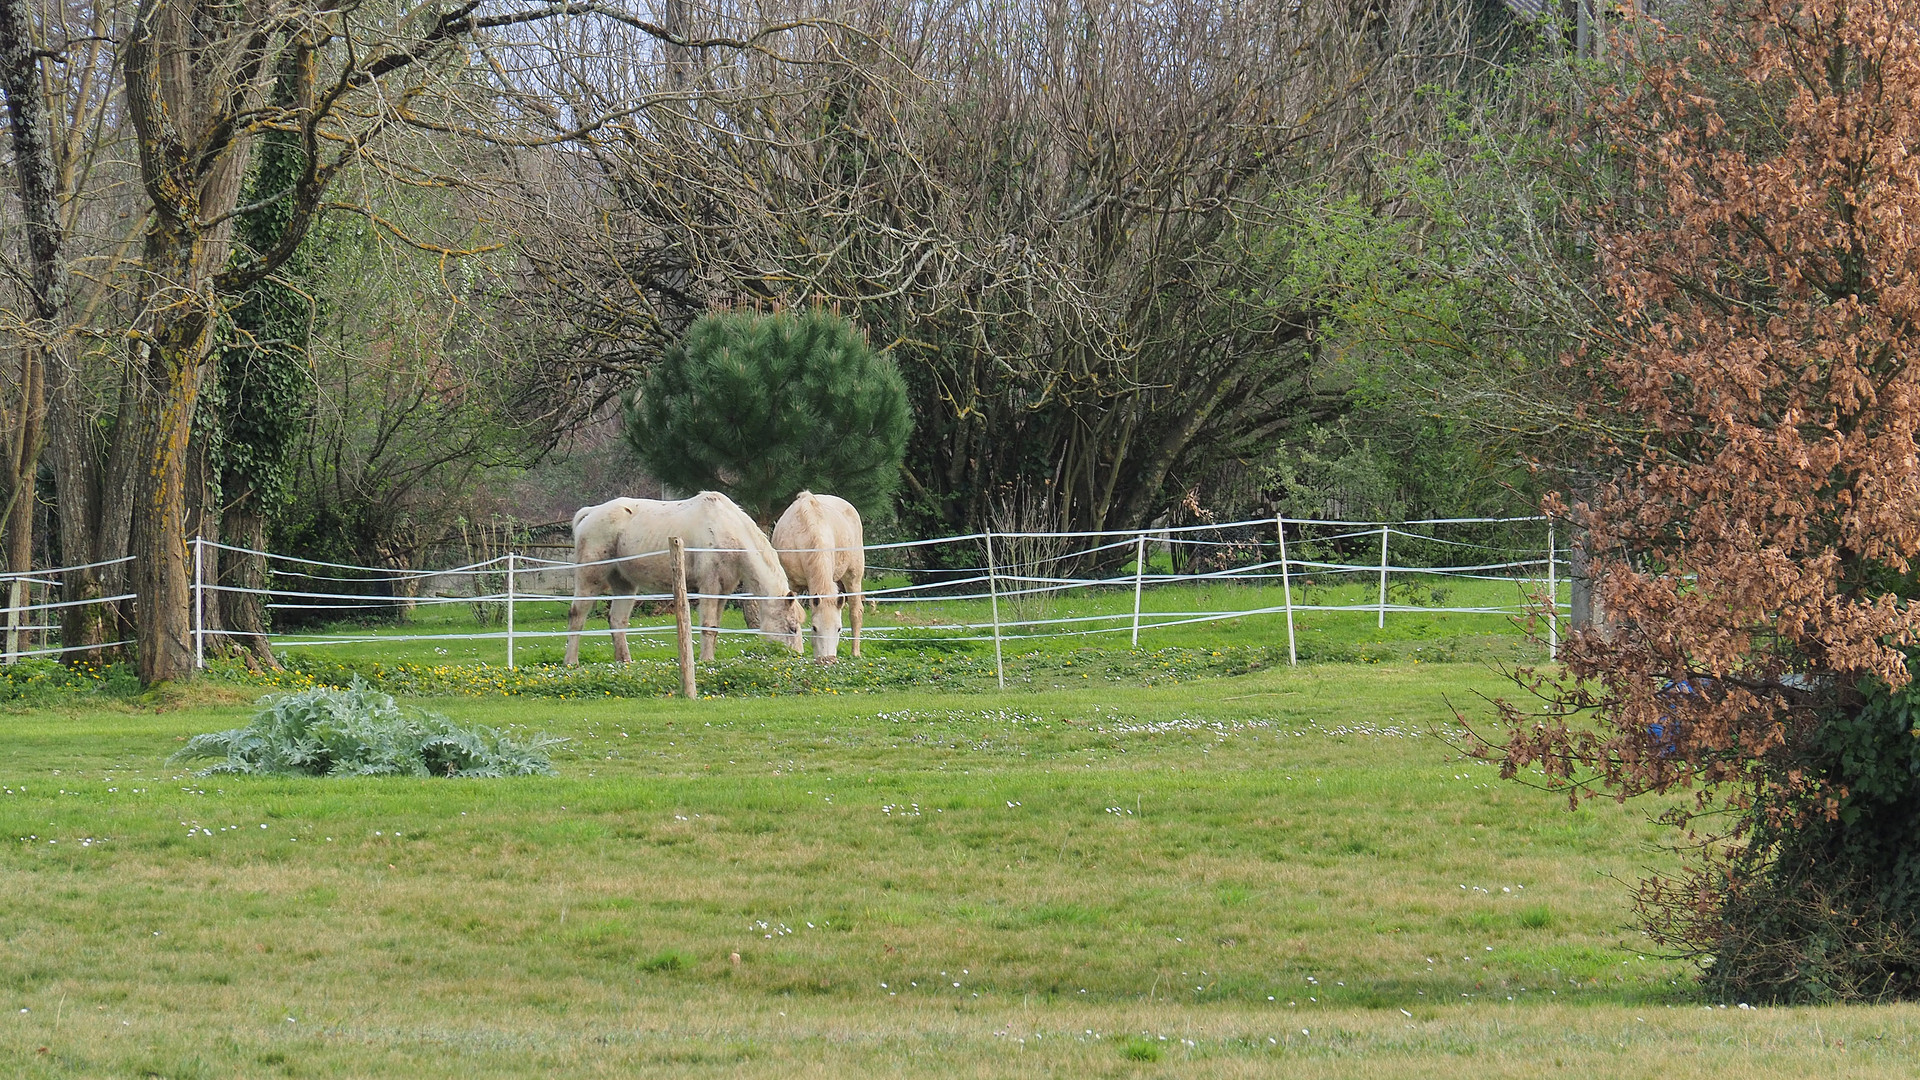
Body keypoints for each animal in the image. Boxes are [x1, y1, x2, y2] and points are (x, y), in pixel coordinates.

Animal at [568, 490, 810, 664]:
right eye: (792, 628)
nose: (796, 658)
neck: (726, 530)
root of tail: (590, 513)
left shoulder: (724, 590)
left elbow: (715, 626)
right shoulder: (709, 586)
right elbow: (709, 625)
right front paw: (706, 660)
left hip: (624, 584)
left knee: (617, 620)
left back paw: (624, 661)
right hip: (590, 578)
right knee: (577, 615)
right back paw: (571, 662)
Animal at [768, 488, 867, 657]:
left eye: (839, 629)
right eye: (814, 628)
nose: (827, 660)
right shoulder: (793, 585)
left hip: (853, 576)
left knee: (856, 612)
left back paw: (855, 653)